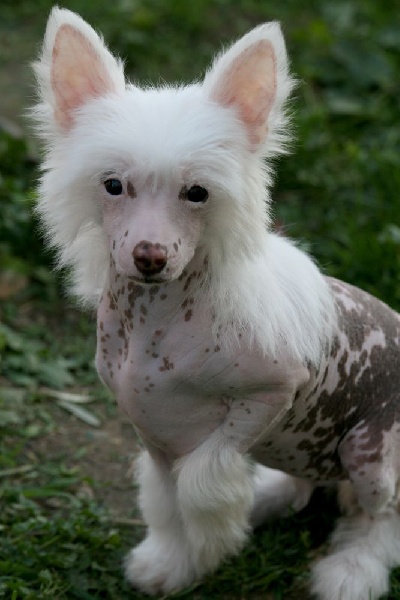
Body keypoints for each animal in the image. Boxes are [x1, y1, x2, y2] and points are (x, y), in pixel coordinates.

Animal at [32, 8, 400, 599]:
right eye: (112, 185)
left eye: (198, 193)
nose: (150, 256)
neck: (156, 325)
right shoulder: (155, 436)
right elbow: (166, 503)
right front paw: (170, 564)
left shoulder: (271, 396)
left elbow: (202, 488)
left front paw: (211, 545)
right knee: (309, 482)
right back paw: (272, 497)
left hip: (369, 452)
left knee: (379, 515)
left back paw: (351, 570)